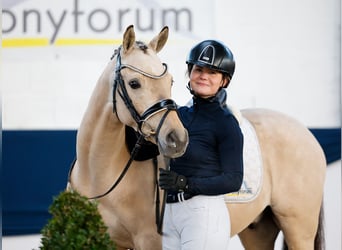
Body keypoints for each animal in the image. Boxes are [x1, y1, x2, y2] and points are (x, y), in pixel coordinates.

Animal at [69, 24, 326, 249]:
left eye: (170, 81)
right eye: (134, 83)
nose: (177, 139)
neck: (101, 176)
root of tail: (306, 133)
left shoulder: (150, 241)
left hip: (298, 228)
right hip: (258, 231)